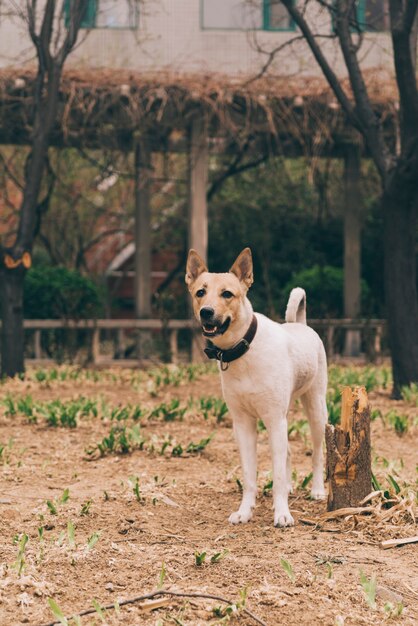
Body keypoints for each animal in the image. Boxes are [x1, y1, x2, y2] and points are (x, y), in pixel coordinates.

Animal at [185, 246, 328, 524]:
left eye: (227, 294)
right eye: (200, 292)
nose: (206, 311)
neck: (243, 350)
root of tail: (300, 324)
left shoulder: (273, 419)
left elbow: (278, 474)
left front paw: (282, 513)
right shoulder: (243, 423)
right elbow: (250, 475)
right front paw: (245, 511)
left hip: (316, 409)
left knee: (317, 452)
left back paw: (317, 490)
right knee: (288, 452)